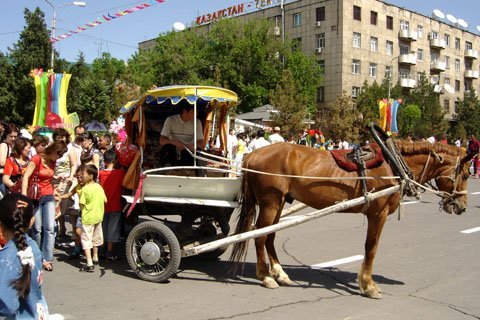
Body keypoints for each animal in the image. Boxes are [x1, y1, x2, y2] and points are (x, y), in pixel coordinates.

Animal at [231, 141, 470, 298]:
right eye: (466, 174)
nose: (462, 207)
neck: (392, 165)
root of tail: (252, 155)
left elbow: (370, 248)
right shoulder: (378, 214)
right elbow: (371, 247)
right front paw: (369, 285)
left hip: (279, 203)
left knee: (269, 236)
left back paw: (280, 273)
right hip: (270, 202)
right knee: (259, 236)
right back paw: (265, 276)